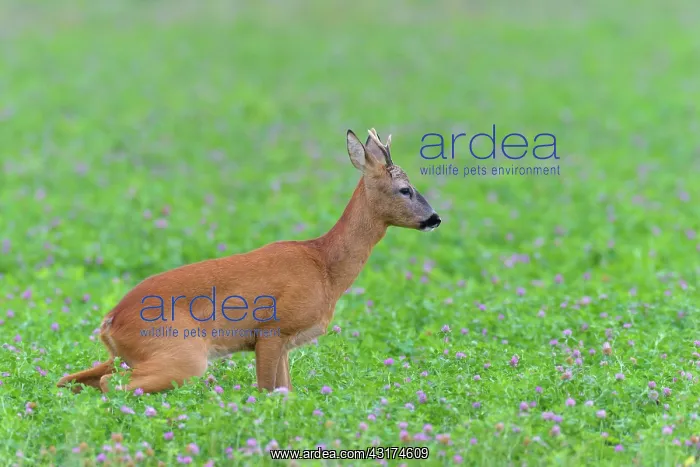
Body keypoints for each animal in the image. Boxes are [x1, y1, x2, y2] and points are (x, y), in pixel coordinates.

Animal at [57, 128, 441, 395]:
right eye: (405, 189)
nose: (435, 218)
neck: (325, 267)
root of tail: (109, 321)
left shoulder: (284, 342)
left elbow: (286, 392)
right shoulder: (272, 329)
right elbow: (268, 391)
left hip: (132, 356)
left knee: (72, 378)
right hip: (181, 354)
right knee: (110, 384)